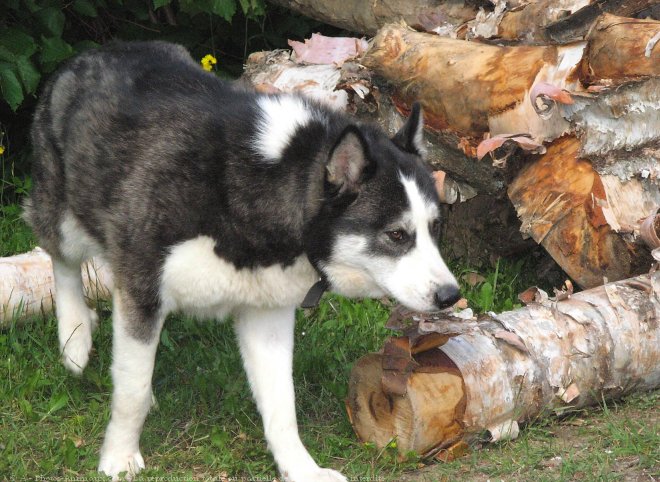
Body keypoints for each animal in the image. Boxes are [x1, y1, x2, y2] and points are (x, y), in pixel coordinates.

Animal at [24, 42, 458, 482]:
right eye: (397, 235)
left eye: (436, 227)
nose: (450, 296)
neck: (253, 184)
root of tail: (96, 52)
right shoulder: (142, 287)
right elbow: (131, 389)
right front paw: (119, 456)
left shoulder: (267, 313)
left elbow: (282, 406)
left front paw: (301, 468)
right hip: (66, 219)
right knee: (61, 261)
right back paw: (75, 336)